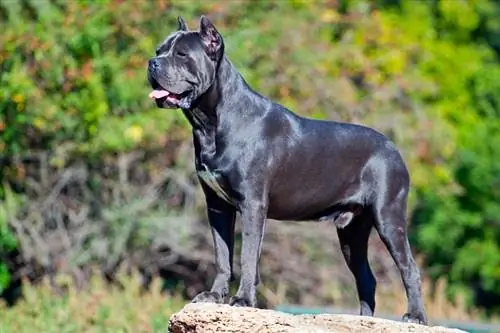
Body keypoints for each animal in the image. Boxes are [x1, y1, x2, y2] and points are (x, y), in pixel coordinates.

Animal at [146, 15, 428, 324]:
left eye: (181, 54)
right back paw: (363, 321)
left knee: (410, 268)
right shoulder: (217, 206)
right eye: (160, 50)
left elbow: (247, 255)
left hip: (388, 217)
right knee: (366, 278)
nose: (152, 62)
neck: (210, 122)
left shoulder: (253, 205)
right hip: (352, 231)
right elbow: (222, 254)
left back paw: (415, 316)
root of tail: (393, 148)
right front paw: (215, 295)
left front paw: (243, 300)